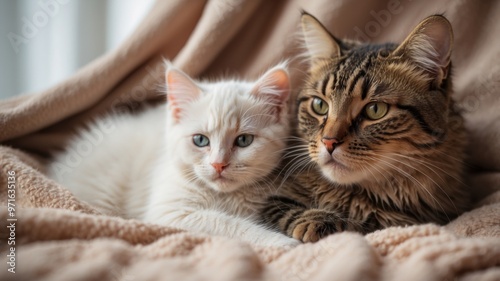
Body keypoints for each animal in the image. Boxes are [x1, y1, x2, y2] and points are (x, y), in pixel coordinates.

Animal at [47, 62, 296, 246]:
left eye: (244, 141)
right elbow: (227, 224)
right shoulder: (169, 213)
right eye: (200, 140)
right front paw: (280, 242)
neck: (224, 196)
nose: (218, 164)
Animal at [260, 12, 470, 241]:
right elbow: (286, 209)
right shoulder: (270, 200)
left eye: (375, 110)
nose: (328, 142)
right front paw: (318, 220)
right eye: (319, 105)